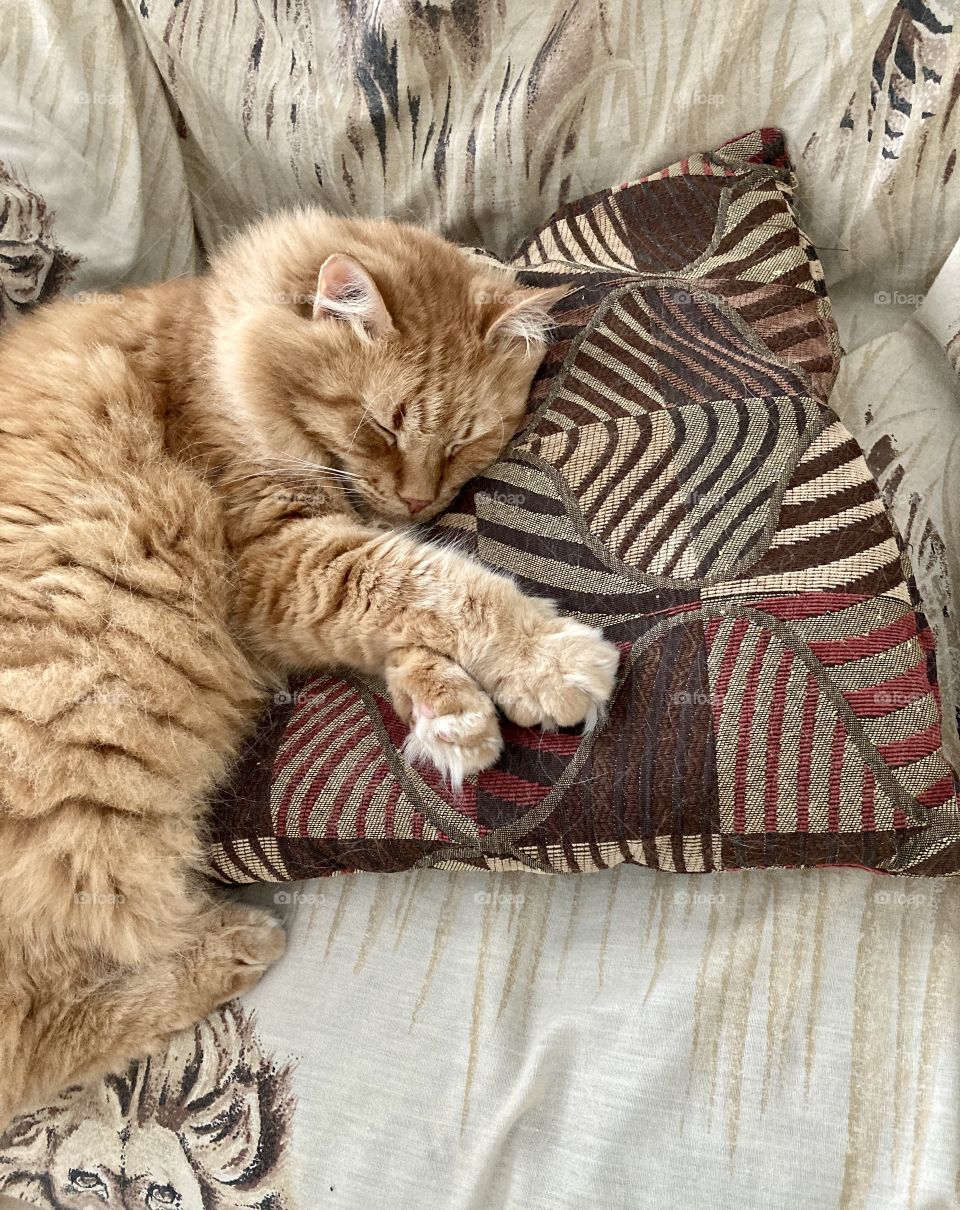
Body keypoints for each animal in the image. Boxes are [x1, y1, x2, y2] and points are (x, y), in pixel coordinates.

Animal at [0, 210, 617, 1122]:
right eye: (383, 426)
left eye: (465, 439)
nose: (418, 499)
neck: (211, 349)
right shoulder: (275, 561)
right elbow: (432, 581)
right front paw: (552, 663)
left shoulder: (297, 590)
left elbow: (406, 616)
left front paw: (453, 719)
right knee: (32, 1038)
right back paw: (234, 944)